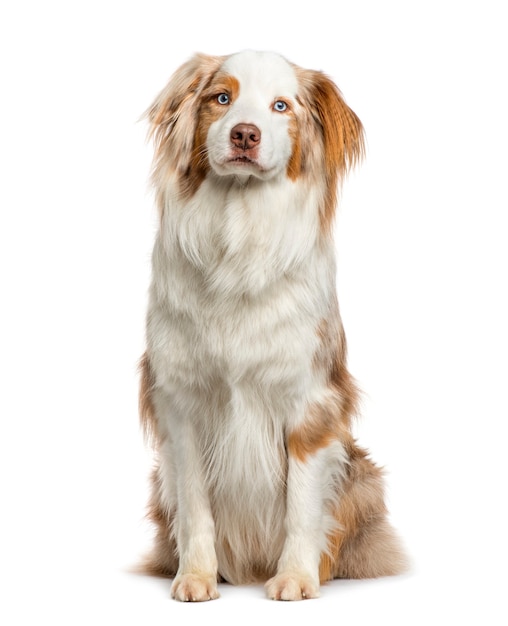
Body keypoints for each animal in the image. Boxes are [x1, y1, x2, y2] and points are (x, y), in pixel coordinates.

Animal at [137, 50, 406, 600]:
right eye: (222, 97)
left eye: (281, 105)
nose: (245, 134)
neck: (238, 237)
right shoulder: (182, 405)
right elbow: (195, 508)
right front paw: (195, 578)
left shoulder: (310, 404)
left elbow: (302, 504)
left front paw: (296, 578)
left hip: (362, 474)